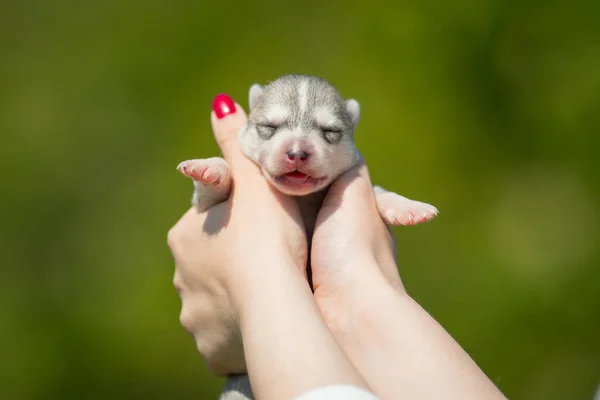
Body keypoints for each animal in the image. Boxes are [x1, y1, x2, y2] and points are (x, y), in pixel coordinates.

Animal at [176, 73, 438, 398]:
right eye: (269, 126)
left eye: (330, 131)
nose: (297, 153)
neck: (301, 200)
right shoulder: (203, 208)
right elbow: (211, 192)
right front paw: (210, 168)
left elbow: (379, 192)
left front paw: (407, 206)